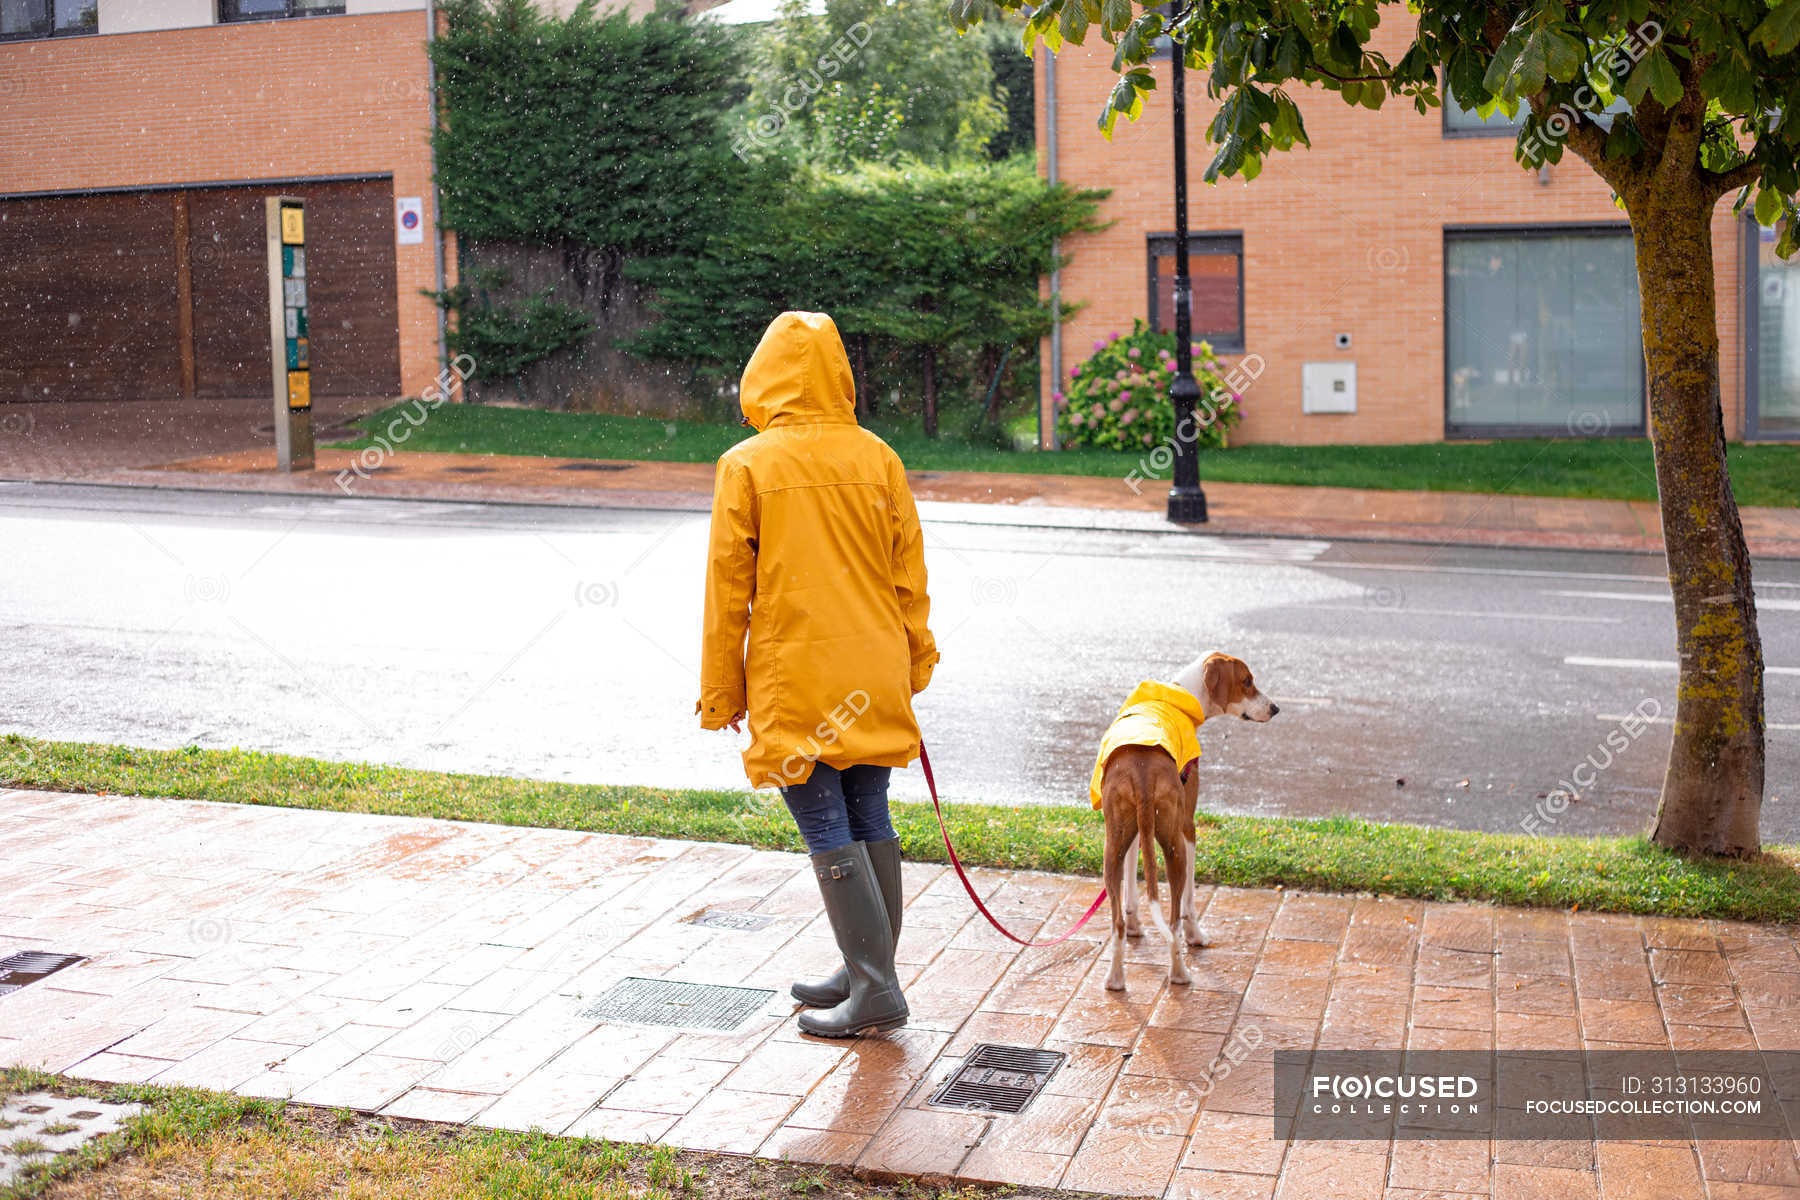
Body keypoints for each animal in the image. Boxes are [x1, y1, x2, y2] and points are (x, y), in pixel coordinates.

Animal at [1094, 651, 1281, 993]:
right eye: (1247, 681)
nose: (1275, 708)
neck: (1182, 695)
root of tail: (1142, 771)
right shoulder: (1188, 827)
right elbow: (1190, 903)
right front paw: (1197, 936)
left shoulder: (1133, 834)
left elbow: (1131, 888)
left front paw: (1136, 924)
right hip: (1174, 847)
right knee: (1172, 921)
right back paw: (1179, 972)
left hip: (1112, 847)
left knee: (1116, 923)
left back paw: (1115, 978)